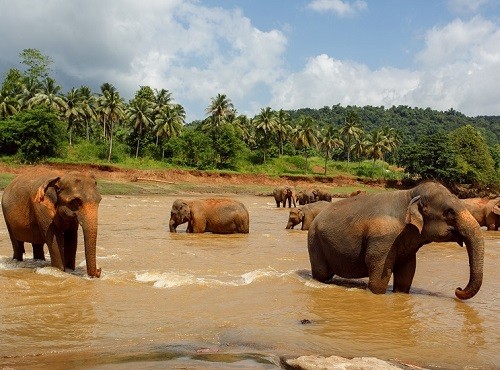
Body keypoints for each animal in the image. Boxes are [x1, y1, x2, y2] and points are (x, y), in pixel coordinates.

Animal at [308, 181, 484, 300]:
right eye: (449, 212)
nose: (458, 289)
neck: (409, 195)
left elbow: (407, 271)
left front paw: (400, 294)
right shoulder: (383, 237)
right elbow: (377, 271)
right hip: (314, 241)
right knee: (321, 274)